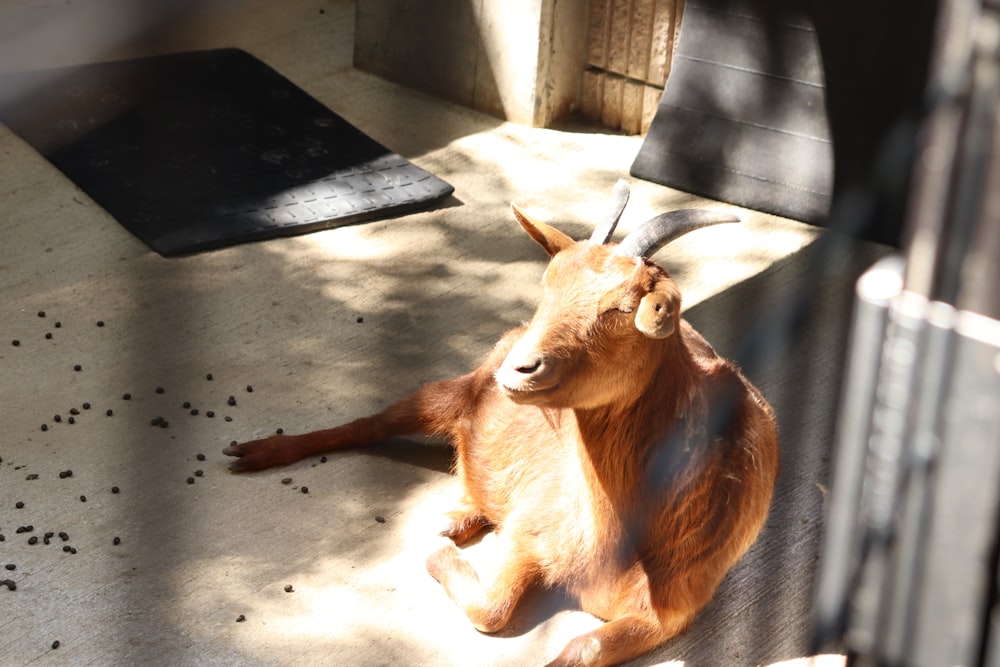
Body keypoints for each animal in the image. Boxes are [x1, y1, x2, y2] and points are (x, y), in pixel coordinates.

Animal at [227, 183, 780, 667]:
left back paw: (456, 518)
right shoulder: (530, 530)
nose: (518, 369)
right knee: (372, 423)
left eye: (625, 308)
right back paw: (260, 451)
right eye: (547, 286)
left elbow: (584, 648)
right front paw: (437, 557)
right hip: (452, 393)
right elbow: (493, 610)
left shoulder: (674, 609)